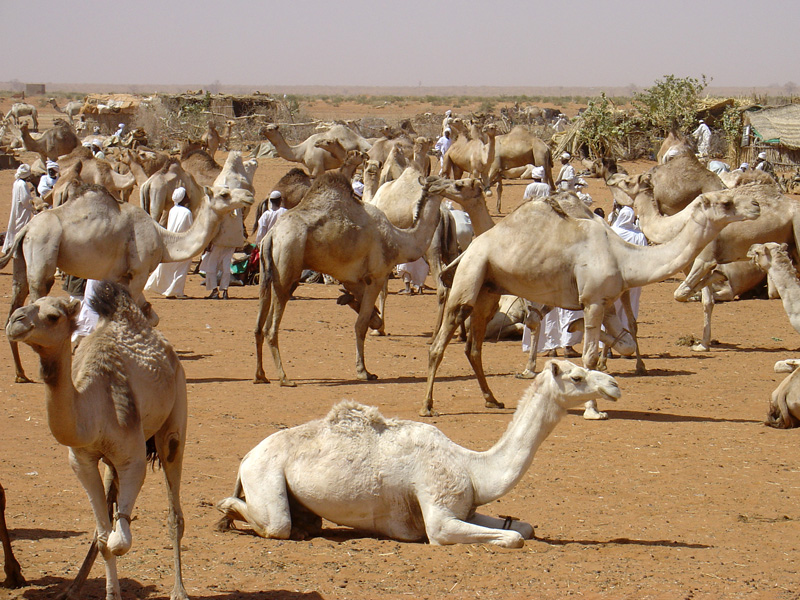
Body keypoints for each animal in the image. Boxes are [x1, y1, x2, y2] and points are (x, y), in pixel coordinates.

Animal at [1, 181, 253, 383]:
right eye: (224, 194)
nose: (249, 195)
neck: (164, 241)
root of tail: (26, 228)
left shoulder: (120, 276)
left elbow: (148, 316)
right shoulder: (140, 272)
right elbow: (135, 314)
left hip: (21, 261)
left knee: (14, 307)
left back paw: (20, 373)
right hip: (42, 252)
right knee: (37, 299)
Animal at [6, 282, 189, 600]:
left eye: (53, 316)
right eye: (29, 305)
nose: (14, 321)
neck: (92, 409)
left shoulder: (133, 459)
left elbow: (119, 541)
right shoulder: (83, 461)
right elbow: (104, 539)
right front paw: (110, 593)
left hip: (175, 413)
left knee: (174, 511)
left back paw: (179, 590)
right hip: (109, 462)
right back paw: (73, 587)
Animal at [218, 360, 620, 547]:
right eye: (577, 377)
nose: (614, 384)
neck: (472, 467)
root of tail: (246, 458)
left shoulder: (465, 507)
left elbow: (523, 527)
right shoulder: (439, 515)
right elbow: (513, 538)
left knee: (300, 524)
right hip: (265, 475)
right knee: (275, 524)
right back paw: (225, 511)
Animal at [253, 172, 447, 385]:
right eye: (443, 182)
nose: (455, 186)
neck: (398, 241)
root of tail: (272, 235)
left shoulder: (353, 280)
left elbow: (369, 315)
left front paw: (351, 303)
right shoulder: (376, 277)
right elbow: (360, 325)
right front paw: (364, 372)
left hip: (266, 272)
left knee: (258, 325)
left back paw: (261, 375)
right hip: (287, 265)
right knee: (271, 328)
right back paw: (284, 378)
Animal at [422, 190, 761, 418]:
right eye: (726, 203)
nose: (756, 206)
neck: (624, 258)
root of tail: (471, 247)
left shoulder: (607, 301)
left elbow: (610, 348)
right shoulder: (594, 301)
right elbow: (588, 357)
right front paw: (593, 409)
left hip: (489, 288)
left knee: (473, 347)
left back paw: (492, 399)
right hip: (471, 276)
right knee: (440, 342)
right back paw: (428, 406)